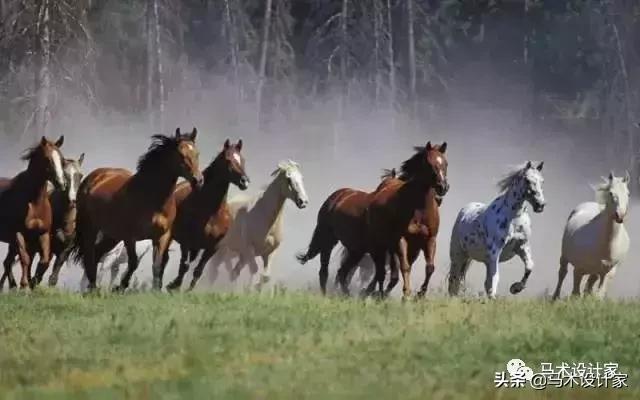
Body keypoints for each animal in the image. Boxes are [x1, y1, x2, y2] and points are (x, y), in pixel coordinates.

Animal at [0, 153, 84, 289]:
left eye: (80, 176)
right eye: (64, 174)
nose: (72, 200)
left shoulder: (64, 250)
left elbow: (53, 275)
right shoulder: (46, 248)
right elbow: (41, 268)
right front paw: (32, 283)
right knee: (9, 262)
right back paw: (14, 286)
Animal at [70, 127, 203, 291]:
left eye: (197, 153)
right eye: (180, 154)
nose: (198, 180)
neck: (152, 199)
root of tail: (95, 176)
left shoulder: (161, 236)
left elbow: (157, 265)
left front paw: (155, 290)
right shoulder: (130, 237)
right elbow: (133, 262)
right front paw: (119, 287)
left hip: (112, 235)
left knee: (97, 254)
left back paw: (91, 288)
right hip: (91, 228)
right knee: (90, 255)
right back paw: (93, 288)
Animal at [164, 139, 249, 291]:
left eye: (242, 160)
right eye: (228, 160)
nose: (244, 181)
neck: (211, 212)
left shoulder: (212, 247)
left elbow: (198, 270)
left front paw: (187, 290)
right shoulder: (186, 241)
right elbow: (184, 266)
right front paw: (174, 286)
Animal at [207, 160, 309, 290]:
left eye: (302, 178)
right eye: (288, 178)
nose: (303, 201)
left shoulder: (270, 252)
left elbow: (265, 276)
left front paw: (256, 290)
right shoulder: (250, 249)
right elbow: (254, 270)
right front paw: (250, 289)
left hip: (240, 255)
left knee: (233, 272)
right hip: (222, 250)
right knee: (214, 272)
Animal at [447, 161, 545, 299]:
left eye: (542, 181)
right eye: (527, 180)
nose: (540, 205)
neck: (514, 218)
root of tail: (464, 211)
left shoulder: (522, 246)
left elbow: (529, 267)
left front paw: (515, 288)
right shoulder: (495, 252)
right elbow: (494, 277)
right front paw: (494, 297)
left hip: (476, 259)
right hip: (458, 255)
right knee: (454, 279)